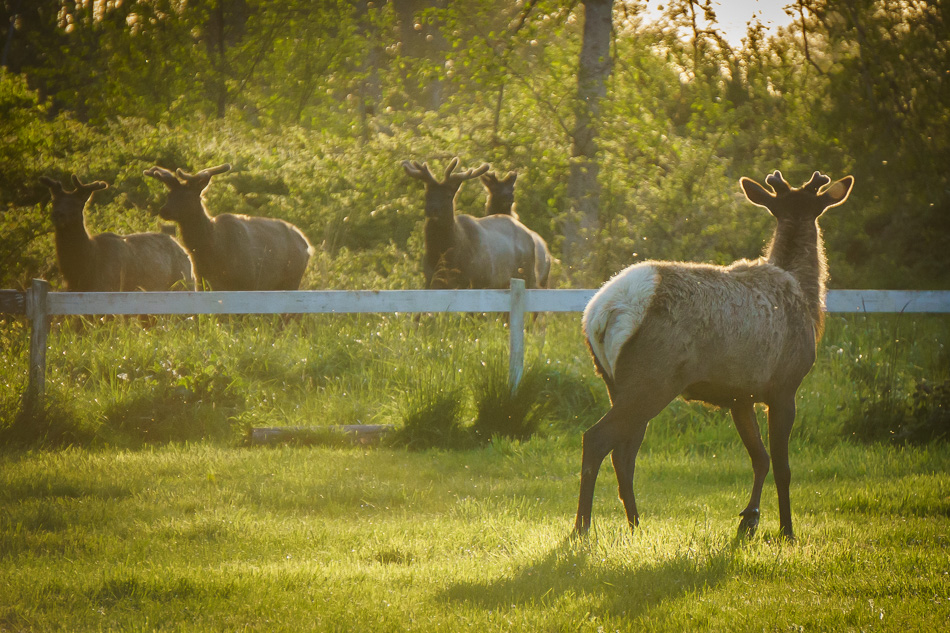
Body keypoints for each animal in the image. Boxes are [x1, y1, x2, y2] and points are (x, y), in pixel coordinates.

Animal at [143, 164, 313, 291]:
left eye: (188, 196)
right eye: (169, 195)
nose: (164, 210)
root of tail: (307, 246)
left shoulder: (247, 281)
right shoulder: (204, 282)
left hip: (291, 279)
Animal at [402, 158, 552, 289]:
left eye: (449, 195)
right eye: (427, 194)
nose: (432, 209)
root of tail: (530, 235)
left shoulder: (478, 280)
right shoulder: (431, 281)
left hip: (528, 274)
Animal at [575, 170, 854, 541]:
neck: (808, 299)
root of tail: (602, 313)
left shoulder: (740, 396)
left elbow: (760, 458)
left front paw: (749, 518)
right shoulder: (784, 386)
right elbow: (783, 466)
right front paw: (786, 530)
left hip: (615, 382)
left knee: (623, 453)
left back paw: (635, 524)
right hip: (652, 380)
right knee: (597, 439)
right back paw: (581, 527)